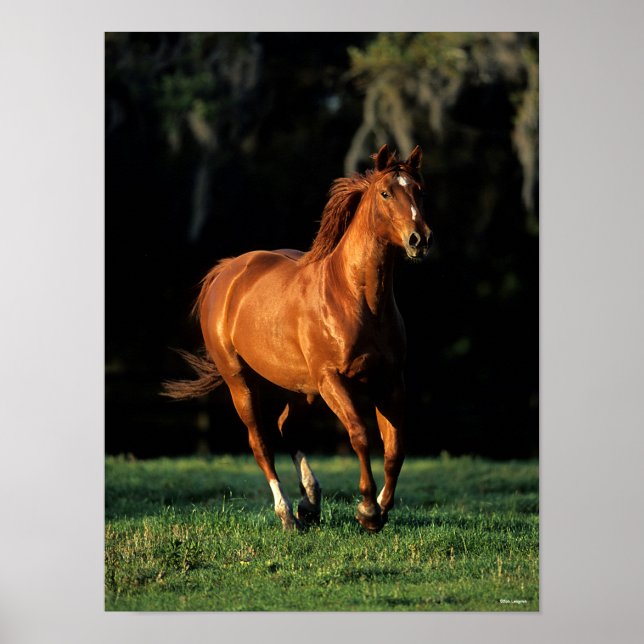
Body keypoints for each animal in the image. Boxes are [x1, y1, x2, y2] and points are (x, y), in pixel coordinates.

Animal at [163, 144, 432, 533]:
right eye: (385, 193)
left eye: (420, 192)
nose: (419, 239)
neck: (354, 297)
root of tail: (227, 271)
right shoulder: (332, 379)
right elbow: (360, 435)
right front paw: (367, 510)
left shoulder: (390, 380)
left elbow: (395, 447)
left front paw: (381, 509)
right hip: (241, 381)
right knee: (260, 441)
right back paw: (288, 513)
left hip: (301, 388)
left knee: (286, 427)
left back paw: (310, 502)